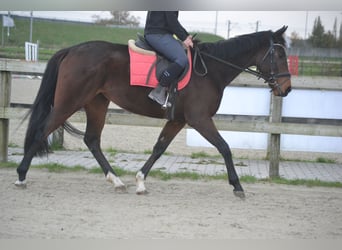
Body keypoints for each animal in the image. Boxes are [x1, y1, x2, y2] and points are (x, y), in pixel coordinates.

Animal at [14, 25, 292, 197]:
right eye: (279, 54)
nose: (287, 88)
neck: (211, 69)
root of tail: (72, 49)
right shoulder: (200, 119)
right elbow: (224, 147)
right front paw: (237, 186)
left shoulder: (178, 120)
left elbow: (160, 148)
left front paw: (140, 181)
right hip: (69, 102)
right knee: (42, 131)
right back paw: (21, 176)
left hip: (97, 103)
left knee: (91, 140)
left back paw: (117, 181)